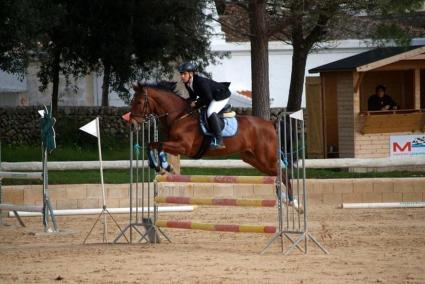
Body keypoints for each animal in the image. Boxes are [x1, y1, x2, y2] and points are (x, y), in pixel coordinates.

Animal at [129, 81, 298, 209]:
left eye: (139, 102)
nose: (131, 125)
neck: (179, 116)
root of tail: (271, 124)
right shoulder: (174, 145)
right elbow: (152, 144)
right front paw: (160, 166)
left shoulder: (184, 147)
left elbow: (157, 145)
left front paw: (164, 166)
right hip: (253, 159)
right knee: (277, 174)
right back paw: (285, 198)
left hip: (265, 157)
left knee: (283, 173)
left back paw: (293, 202)